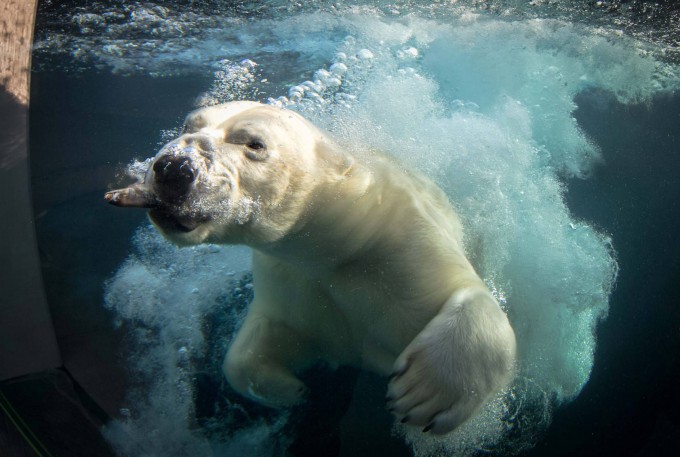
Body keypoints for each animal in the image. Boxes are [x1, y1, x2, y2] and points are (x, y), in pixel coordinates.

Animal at [106, 100, 516, 434]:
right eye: (187, 124)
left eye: (254, 143)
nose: (173, 167)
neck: (340, 240)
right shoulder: (294, 280)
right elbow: (264, 342)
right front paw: (291, 390)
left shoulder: (402, 241)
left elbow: (470, 294)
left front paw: (424, 394)